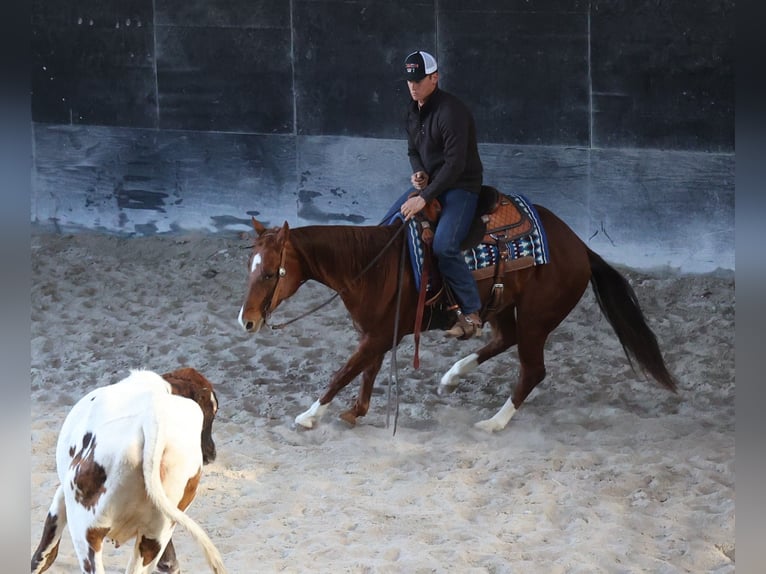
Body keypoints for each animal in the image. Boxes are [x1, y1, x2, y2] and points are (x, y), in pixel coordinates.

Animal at [30, 368, 228, 574]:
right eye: (210, 415)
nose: (211, 453)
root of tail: (152, 419)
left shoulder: (61, 497)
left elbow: (44, 553)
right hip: (155, 535)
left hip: (85, 530)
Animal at [238, 207, 680, 432]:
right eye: (250, 266)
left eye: (269, 273)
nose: (246, 321)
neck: (374, 265)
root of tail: (580, 248)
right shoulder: (378, 334)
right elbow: (366, 371)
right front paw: (356, 411)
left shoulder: (378, 335)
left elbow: (344, 371)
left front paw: (310, 415)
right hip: (501, 307)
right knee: (504, 340)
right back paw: (452, 375)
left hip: (537, 317)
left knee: (532, 369)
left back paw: (494, 422)